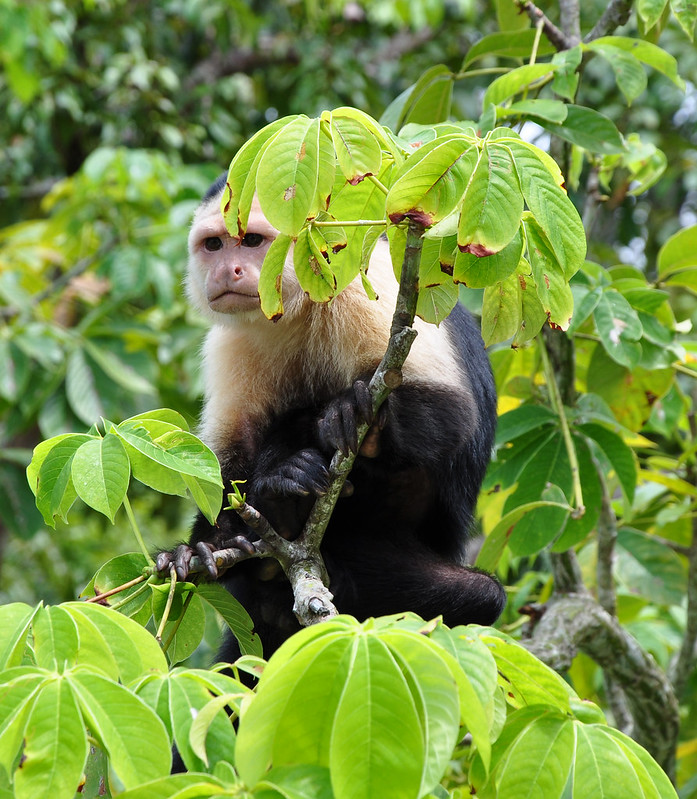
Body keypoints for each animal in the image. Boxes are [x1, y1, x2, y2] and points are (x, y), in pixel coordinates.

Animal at [156, 175, 506, 664]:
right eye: (214, 245)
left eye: (251, 241)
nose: (227, 271)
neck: (297, 307)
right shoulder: (231, 339)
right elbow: (230, 458)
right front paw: (201, 546)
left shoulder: (367, 284)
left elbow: (454, 412)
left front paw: (354, 418)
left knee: (483, 595)